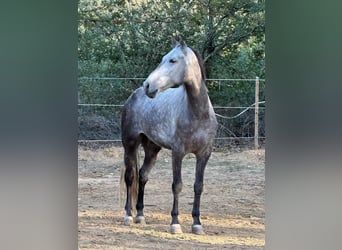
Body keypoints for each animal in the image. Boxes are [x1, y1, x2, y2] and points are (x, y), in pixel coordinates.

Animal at [121, 39, 216, 234]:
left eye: (172, 60)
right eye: (163, 59)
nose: (148, 85)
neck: (198, 114)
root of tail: (134, 95)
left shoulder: (204, 154)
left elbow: (198, 186)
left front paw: (197, 223)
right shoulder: (177, 153)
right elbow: (177, 185)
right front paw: (175, 223)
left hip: (152, 148)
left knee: (143, 176)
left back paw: (140, 215)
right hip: (130, 145)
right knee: (130, 177)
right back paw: (128, 215)